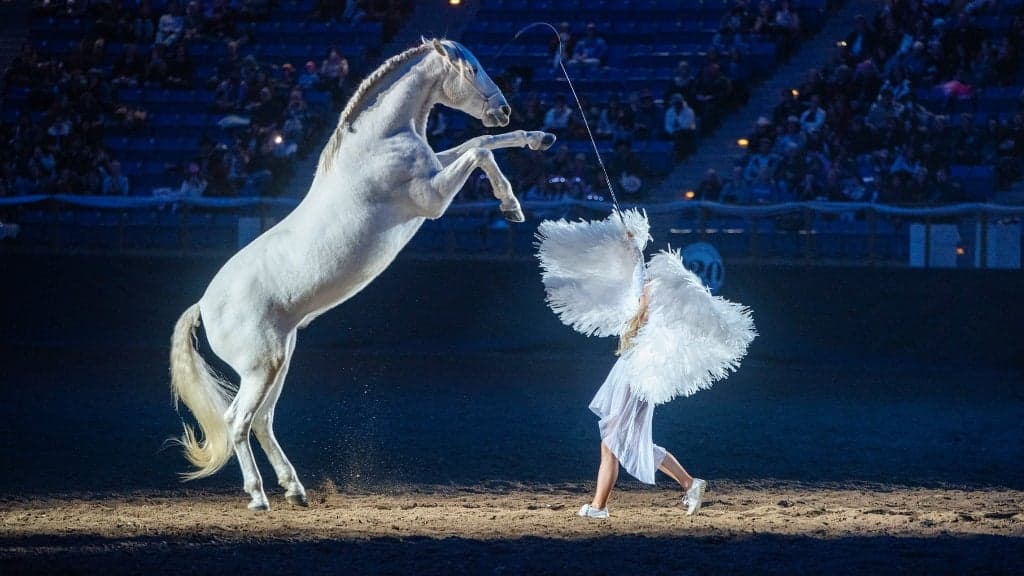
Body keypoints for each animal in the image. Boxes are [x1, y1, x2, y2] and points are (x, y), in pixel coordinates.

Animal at [169, 38, 556, 510]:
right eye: (472, 69)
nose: (503, 109)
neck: (380, 143)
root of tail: (204, 305)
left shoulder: (437, 166)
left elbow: (480, 140)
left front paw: (538, 140)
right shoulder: (432, 197)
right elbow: (479, 150)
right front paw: (511, 204)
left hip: (278, 362)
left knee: (263, 420)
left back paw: (295, 491)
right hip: (262, 367)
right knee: (237, 420)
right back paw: (259, 496)